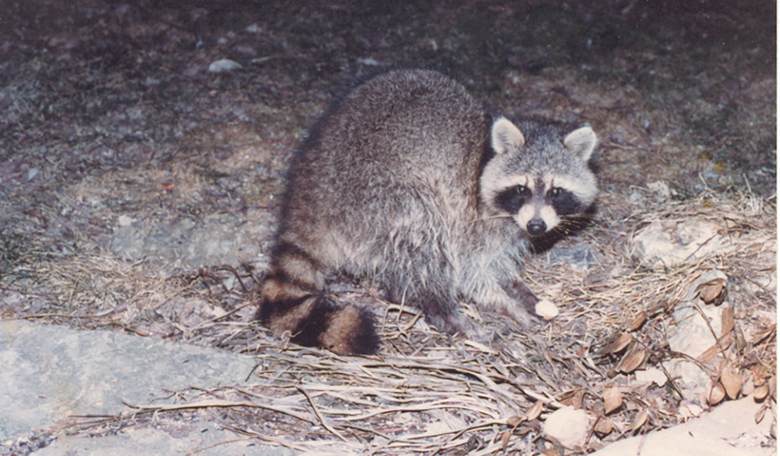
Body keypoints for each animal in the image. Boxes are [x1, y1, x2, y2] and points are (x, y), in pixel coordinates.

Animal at [257, 69, 598, 354]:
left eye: (556, 192)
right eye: (521, 190)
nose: (537, 226)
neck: (484, 159)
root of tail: (310, 194)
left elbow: (499, 264)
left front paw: (519, 290)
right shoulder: (470, 214)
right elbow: (471, 272)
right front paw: (501, 301)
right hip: (377, 196)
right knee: (424, 235)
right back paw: (441, 309)